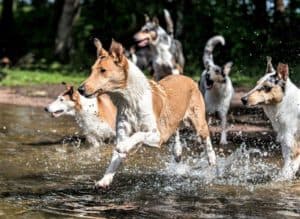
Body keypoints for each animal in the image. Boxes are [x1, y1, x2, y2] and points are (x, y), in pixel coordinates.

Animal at [77, 39, 216, 188]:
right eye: (92, 70)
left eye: (103, 70)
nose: (80, 89)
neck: (129, 101)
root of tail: (187, 78)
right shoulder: (123, 132)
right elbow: (115, 159)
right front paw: (105, 180)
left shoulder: (158, 135)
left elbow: (138, 135)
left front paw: (123, 146)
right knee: (175, 130)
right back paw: (177, 151)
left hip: (198, 122)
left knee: (206, 138)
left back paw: (212, 158)